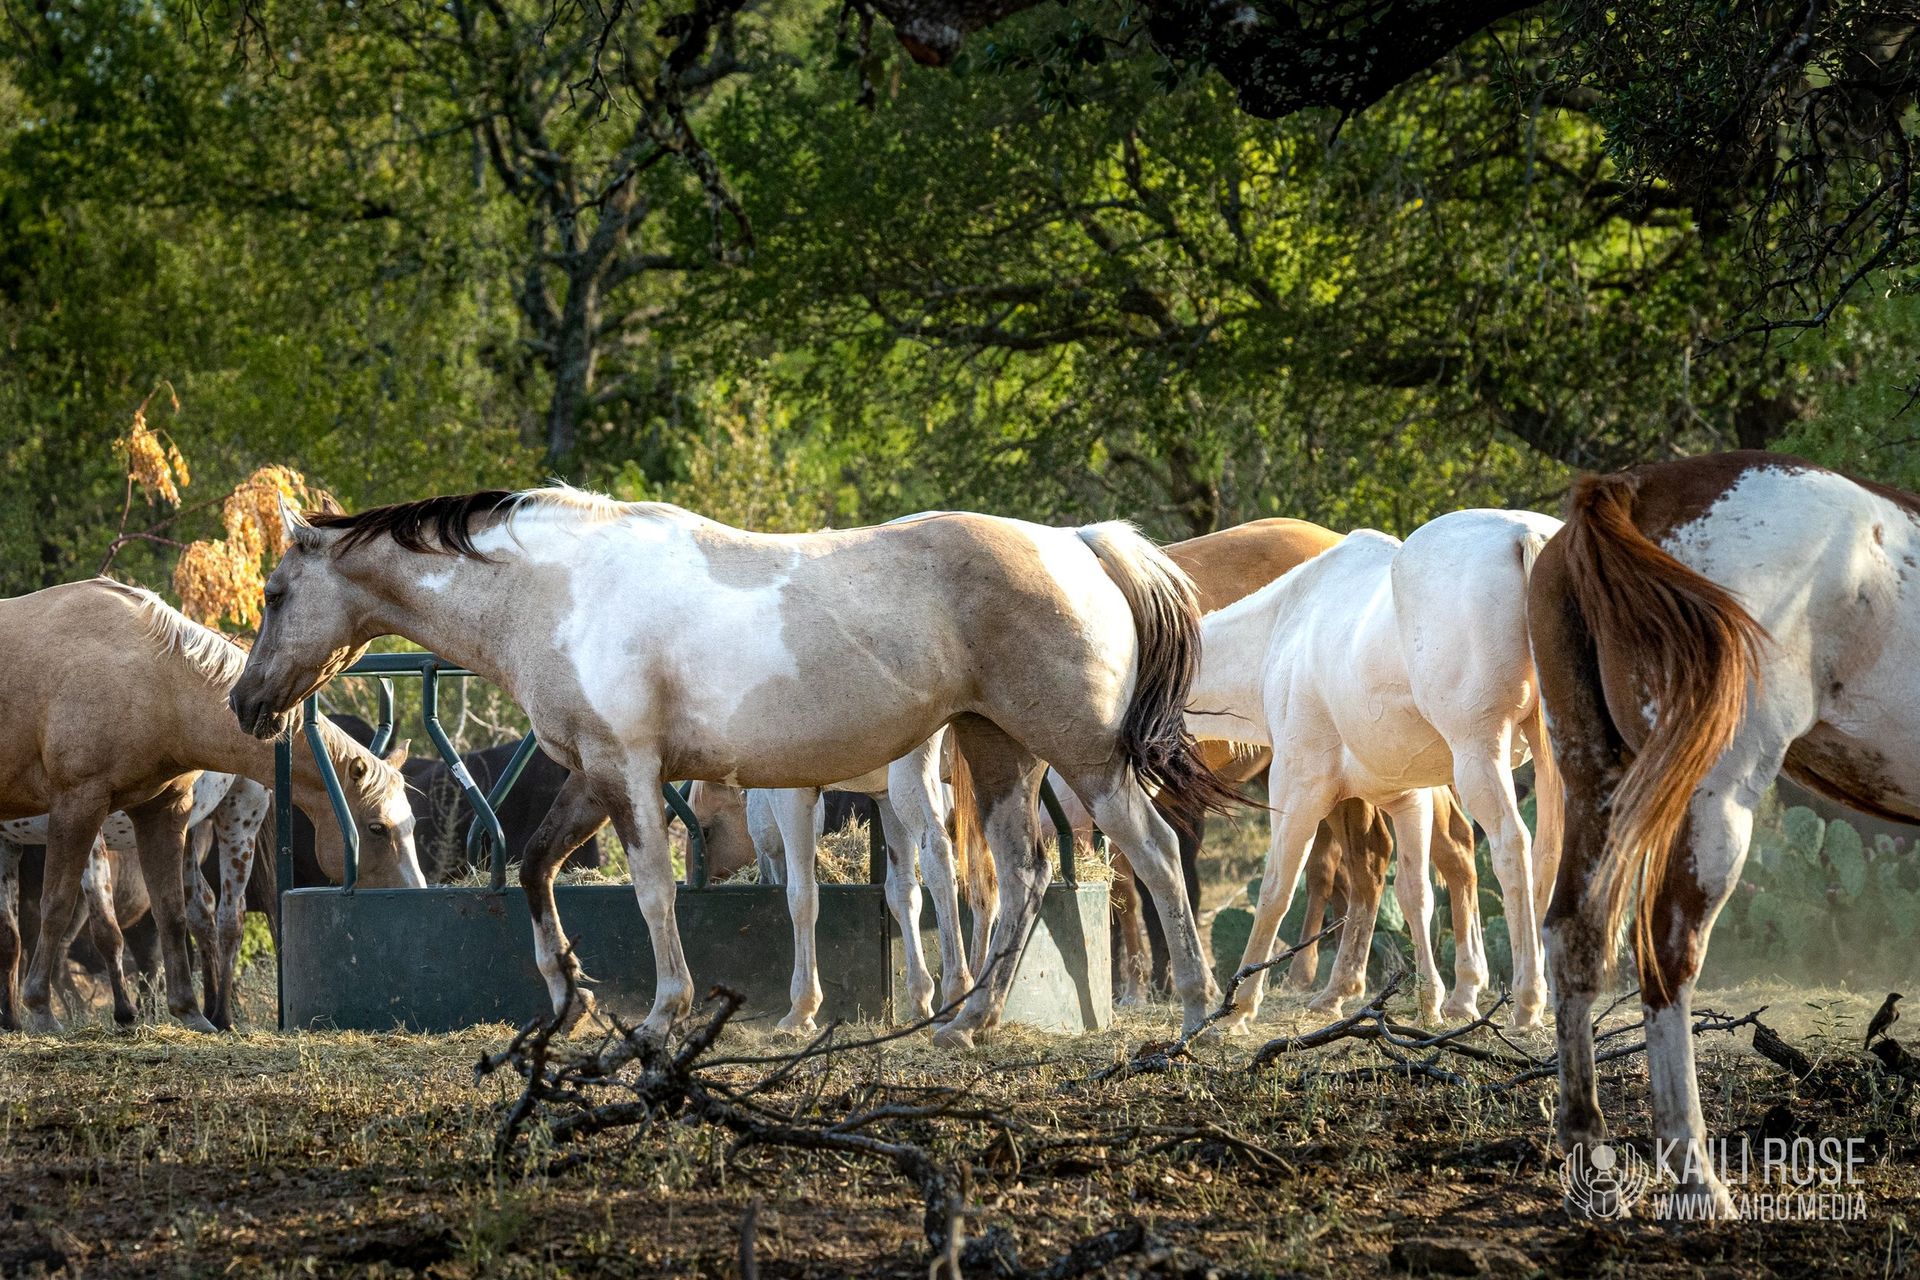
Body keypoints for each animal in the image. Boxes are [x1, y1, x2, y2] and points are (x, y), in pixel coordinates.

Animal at [0, 578, 422, 1032]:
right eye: (377, 827)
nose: (414, 895)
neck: (148, 678)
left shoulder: (162, 811)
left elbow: (171, 912)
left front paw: (189, 1012)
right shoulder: (78, 807)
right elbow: (56, 909)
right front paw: (40, 1010)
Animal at [229, 488, 1238, 1047]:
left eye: (275, 594)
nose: (246, 706)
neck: (560, 589)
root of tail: (1078, 545)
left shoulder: (629, 774)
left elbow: (652, 895)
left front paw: (657, 1015)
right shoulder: (591, 776)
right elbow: (535, 869)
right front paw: (567, 995)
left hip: (1082, 757)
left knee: (1150, 853)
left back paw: (1196, 1013)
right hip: (997, 749)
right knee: (1022, 874)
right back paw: (966, 1021)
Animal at [1188, 509, 1565, 1031]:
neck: (1286, 624)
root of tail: (1528, 535)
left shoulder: (1297, 792)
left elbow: (1275, 891)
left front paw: (1237, 1009)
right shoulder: (1405, 798)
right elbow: (1413, 892)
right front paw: (1430, 1000)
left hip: (1478, 756)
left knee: (1512, 846)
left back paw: (1527, 1003)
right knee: (1547, 854)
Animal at [1531, 451, 1920, 1217]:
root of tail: (1633, 488)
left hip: (1595, 783)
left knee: (1574, 939)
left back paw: (1590, 1159)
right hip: (1717, 800)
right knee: (1665, 954)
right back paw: (1697, 1180)